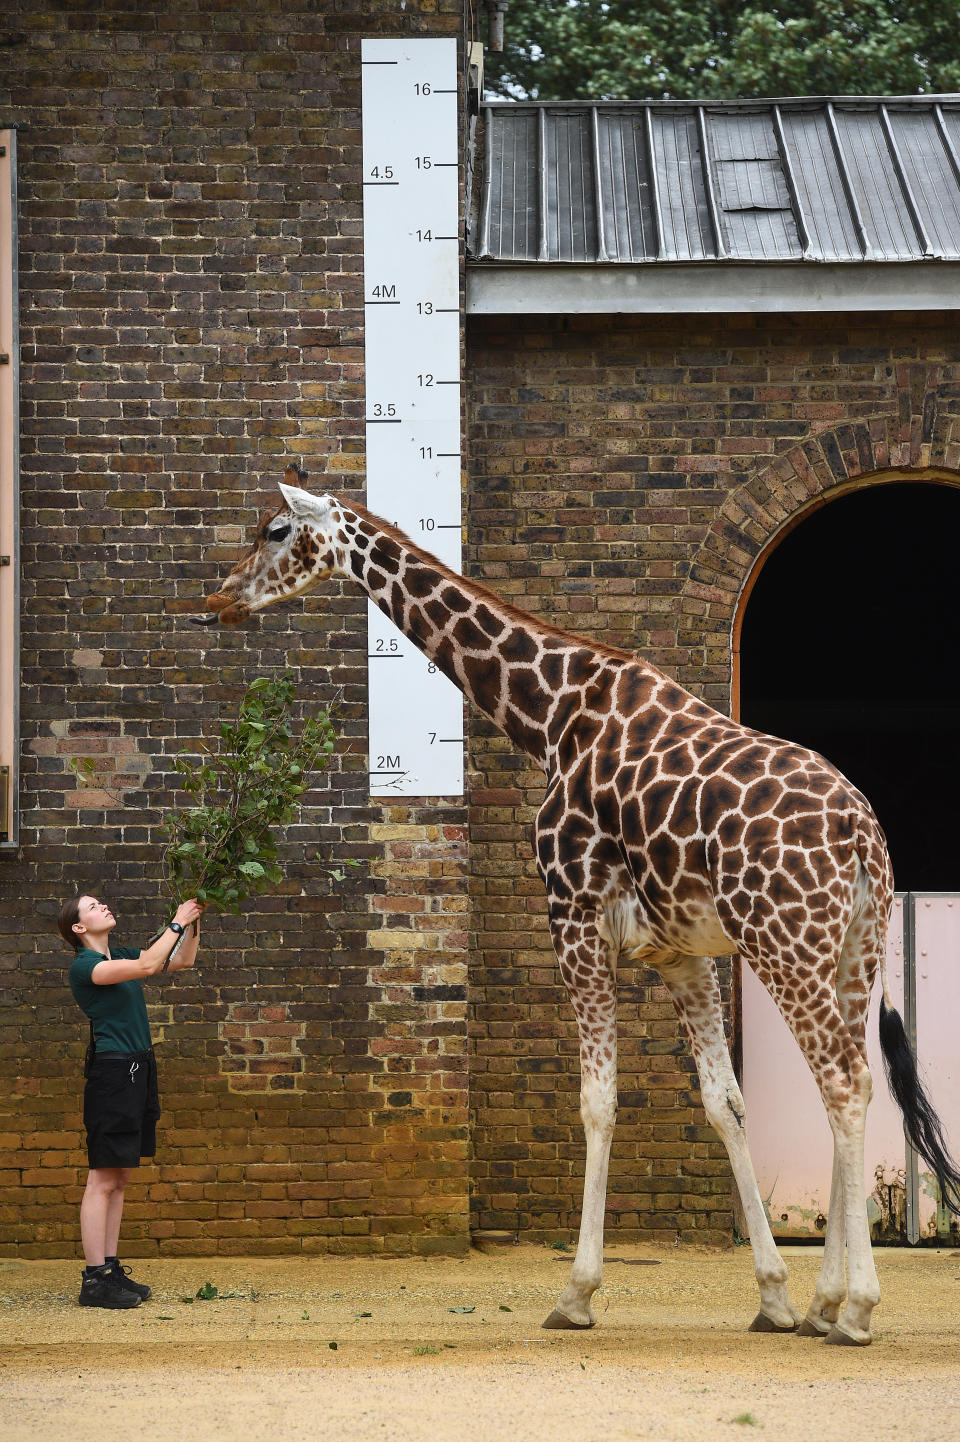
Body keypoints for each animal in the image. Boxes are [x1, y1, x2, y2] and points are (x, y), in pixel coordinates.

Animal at [194, 467, 957, 1343]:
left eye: (277, 531)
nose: (216, 601)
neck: (551, 712)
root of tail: (861, 830)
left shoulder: (573, 915)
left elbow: (597, 1100)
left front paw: (576, 1293)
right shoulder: (681, 954)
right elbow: (724, 1103)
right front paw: (774, 1296)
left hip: (783, 939)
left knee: (843, 1080)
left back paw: (858, 1307)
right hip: (855, 947)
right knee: (850, 1079)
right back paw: (829, 1304)